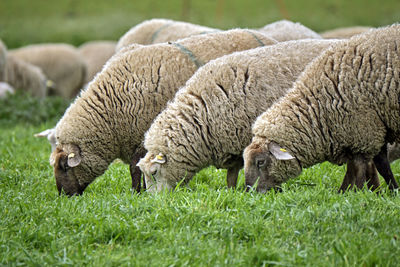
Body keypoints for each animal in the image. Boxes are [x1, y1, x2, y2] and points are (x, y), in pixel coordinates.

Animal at [41, 29, 278, 197]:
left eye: (64, 166)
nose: (64, 196)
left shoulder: (141, 138)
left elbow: (136, 169)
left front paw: (138, 193)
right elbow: (137, 169)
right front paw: (139, 191)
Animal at [137, 38, 338, 193]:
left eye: (154, 172)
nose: (156, 201)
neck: (203, 113)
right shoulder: (230, 146)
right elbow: (231, 176)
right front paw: (232, 192)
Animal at [242, 23, 400, 193]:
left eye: (260, 161)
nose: (250, 192)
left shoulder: (364, 132)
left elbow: (360, 169)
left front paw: (354, 192)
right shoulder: (369, 131)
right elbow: (376, 166)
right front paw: (391, 190)